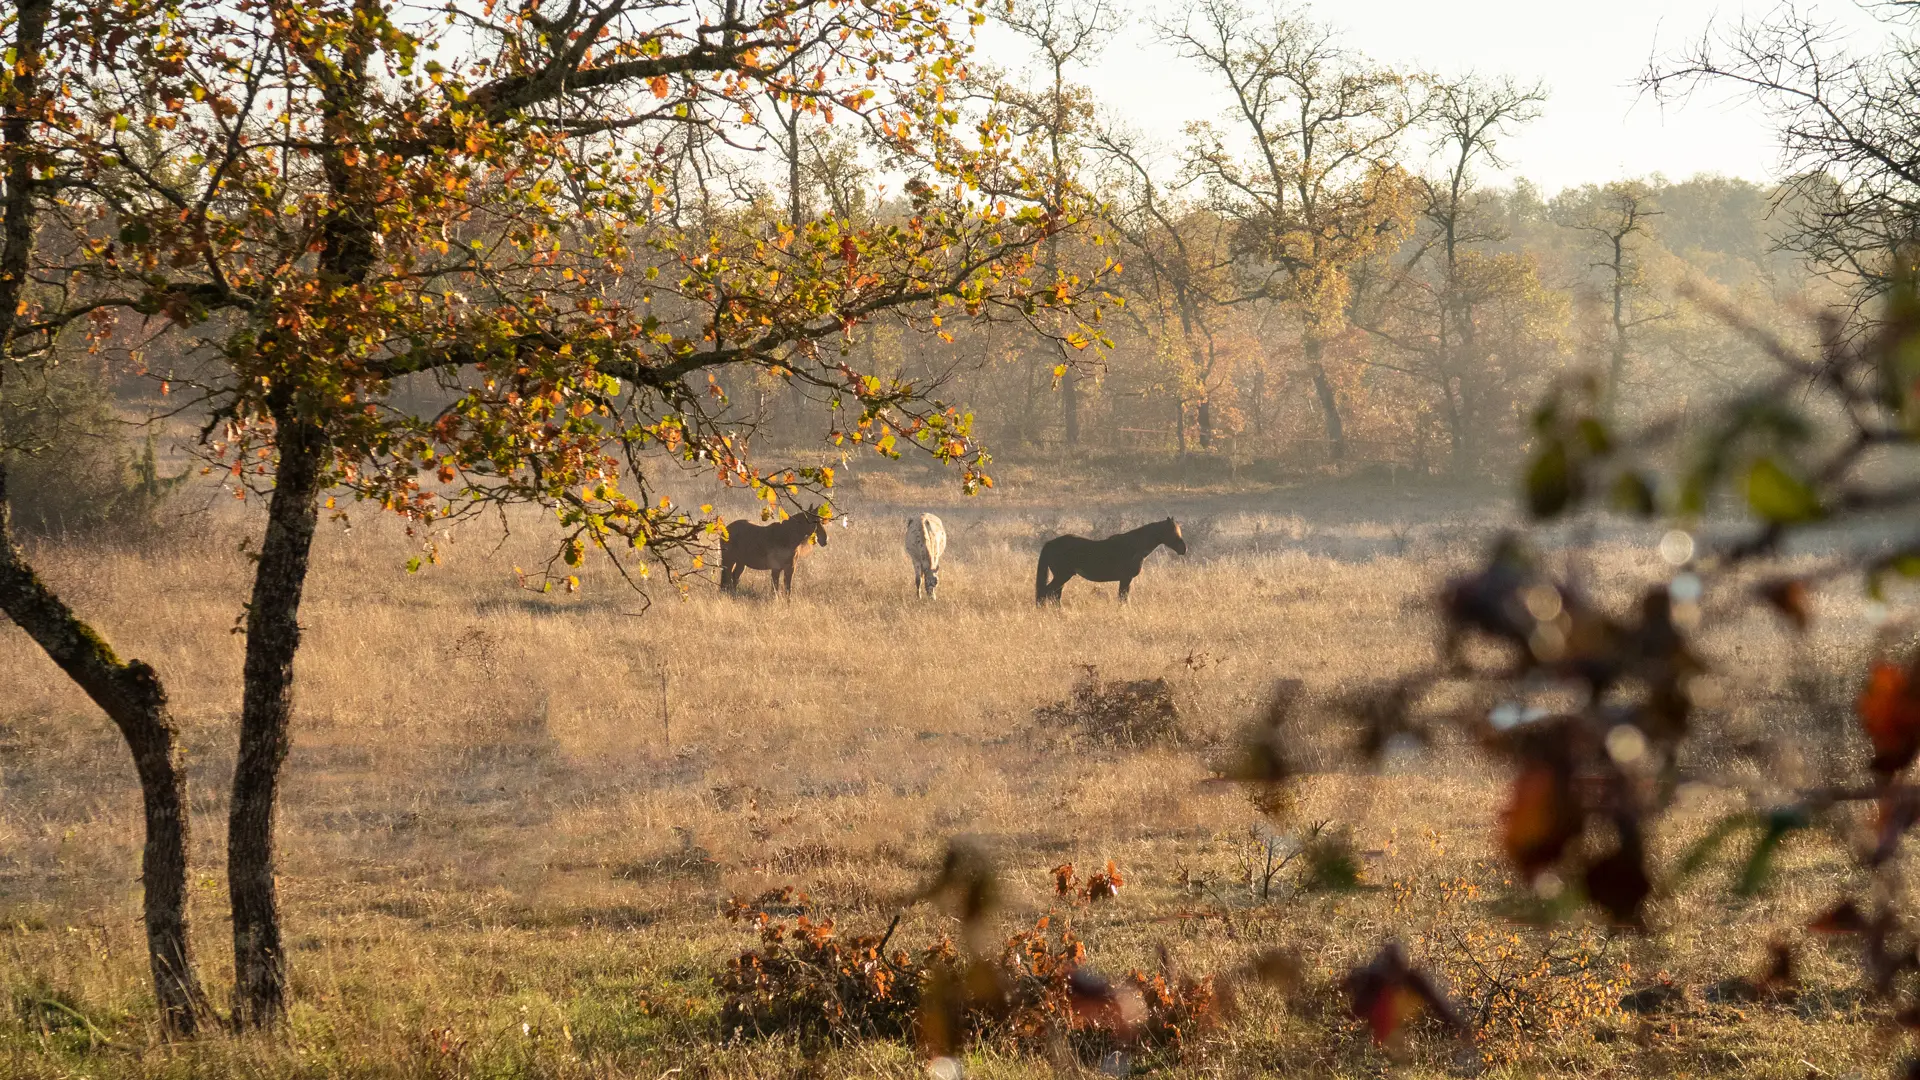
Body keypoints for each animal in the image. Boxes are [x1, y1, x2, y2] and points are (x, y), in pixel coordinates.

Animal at [1036, 515, 1182, 599]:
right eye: (1171, 531)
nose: (1183, 548)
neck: (1133, 547)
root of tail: (1050, 543)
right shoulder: (1126, 579)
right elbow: (1122, 599)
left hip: (1062, 577)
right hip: (1062, 576)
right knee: (1045, 593)